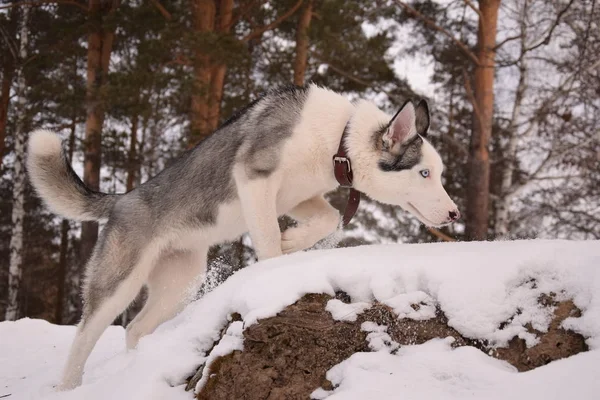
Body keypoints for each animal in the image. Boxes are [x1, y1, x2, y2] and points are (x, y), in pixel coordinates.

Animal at [27, 83, 460, 388]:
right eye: (425, 173)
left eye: (438, 174)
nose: (455, 214)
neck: (339, 139)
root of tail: (122, 199)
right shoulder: (255, 180)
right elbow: (267, 240)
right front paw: (276, 265)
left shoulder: (298, 197)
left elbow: (330, 217)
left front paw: (293, 242)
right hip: (119, 283)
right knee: (84, 336)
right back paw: (68, 386)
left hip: (179, 284)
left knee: (135, 328)